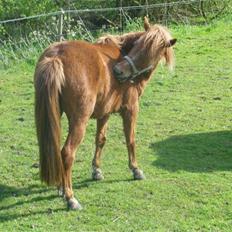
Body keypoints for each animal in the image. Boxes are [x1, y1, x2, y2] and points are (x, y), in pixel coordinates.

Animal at [34, 17, 176, 210]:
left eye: (150, 52)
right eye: (138, 46)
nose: (118, 71)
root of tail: (56, 56)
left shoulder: (104, 113)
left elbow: (100, 140)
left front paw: (96, 170)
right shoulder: (131, 109)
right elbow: (130, 139)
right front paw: (135, 169)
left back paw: (61, 188)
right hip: (79, 121)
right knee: (67, 153)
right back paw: (70, 197)